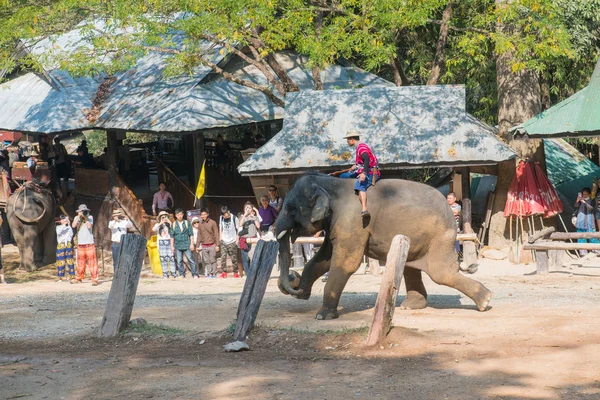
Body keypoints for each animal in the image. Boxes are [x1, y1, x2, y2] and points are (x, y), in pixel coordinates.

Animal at [276, 173, 492, 320]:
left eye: (291, 208)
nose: (293, 282)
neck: (330, 183)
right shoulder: (338, 225)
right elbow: (322, 258)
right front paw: (305, 294)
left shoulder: (353, 222)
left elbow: (345, 263)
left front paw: (322, 316)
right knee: (412, 268)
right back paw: (411, 306)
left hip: (440, 237)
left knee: (441, 273)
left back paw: (485, 301)